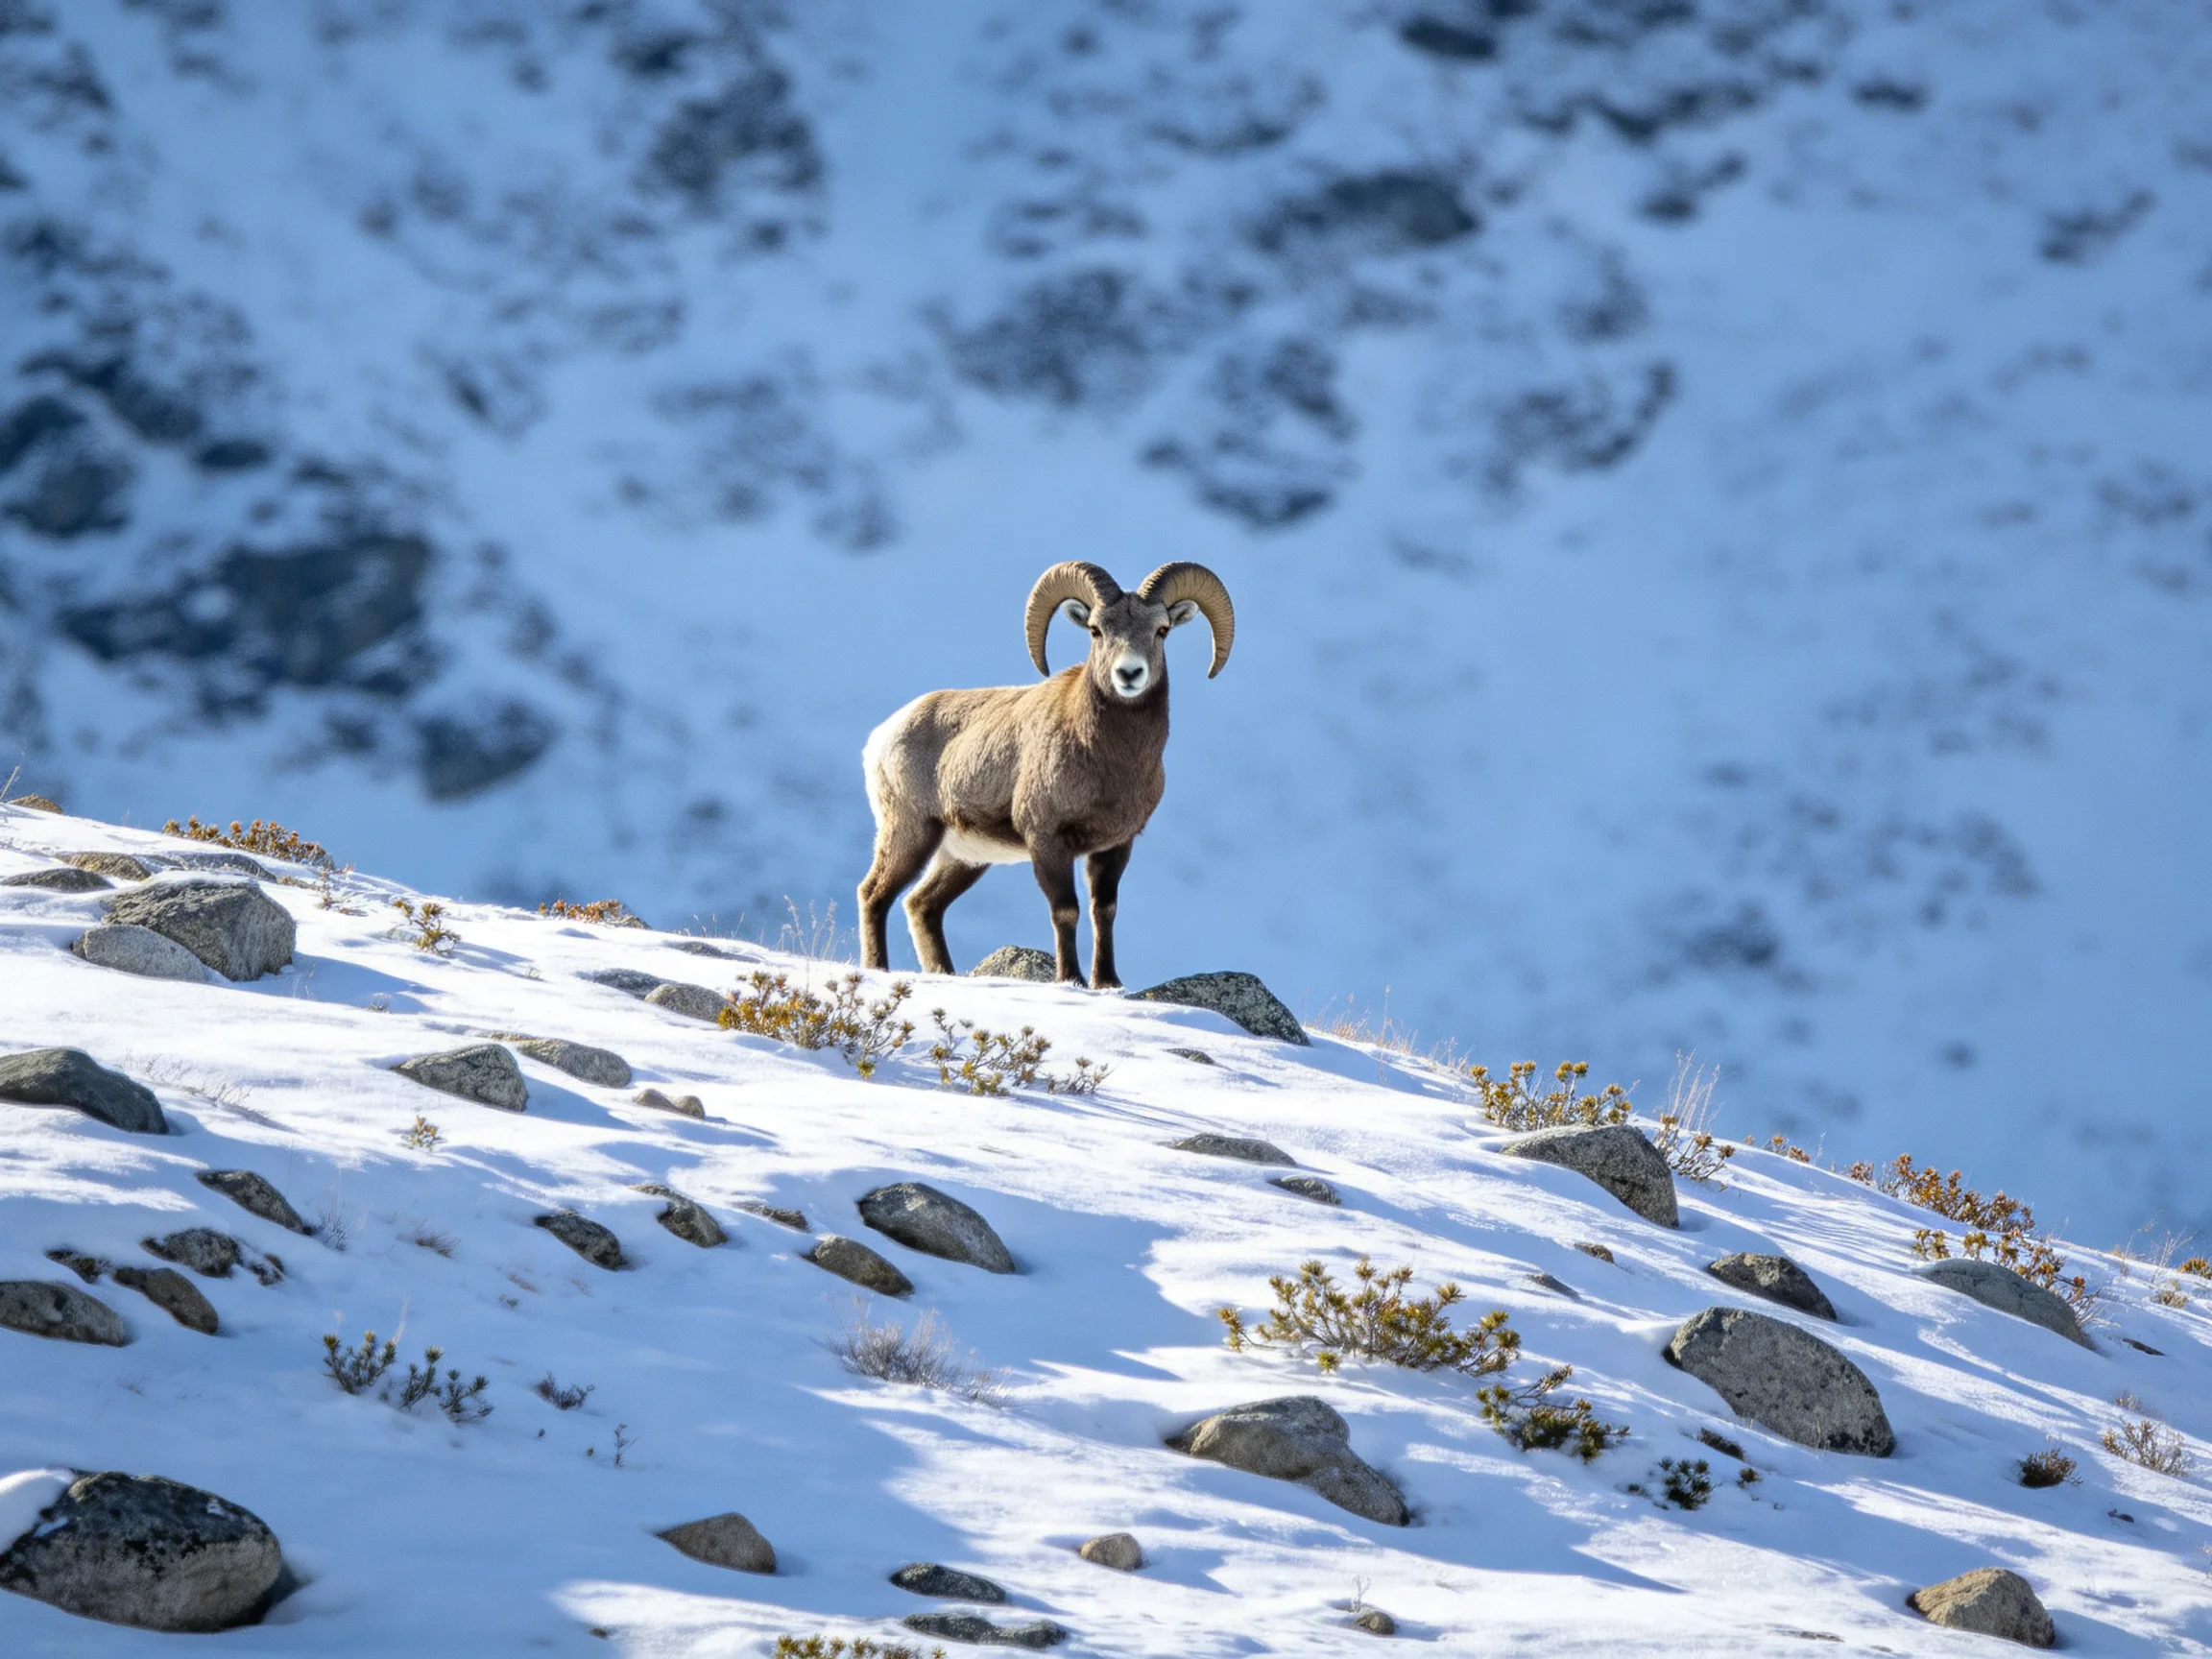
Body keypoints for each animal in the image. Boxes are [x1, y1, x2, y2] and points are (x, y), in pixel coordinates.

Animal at [858, 560, 1235, 987]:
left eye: (1161, 630)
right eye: (1096, 630)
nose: (1129, 674)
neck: (1107, 761)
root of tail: (882, 736)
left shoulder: (1115, 846)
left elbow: (1104, 910)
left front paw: (1107, 982)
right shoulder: (1047, 841)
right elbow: (1065, 910)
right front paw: (1071, 980)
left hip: (961, 859)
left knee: (922, 906)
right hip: (910, 834)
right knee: (874, 894)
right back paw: (877, 967)